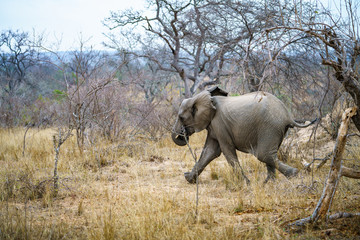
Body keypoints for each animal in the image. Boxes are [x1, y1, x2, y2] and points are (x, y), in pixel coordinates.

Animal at [172, 86, 316, 184]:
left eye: (181, 117)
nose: (182, 133)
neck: (204, 98)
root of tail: (288, 116)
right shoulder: (213, 126)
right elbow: (210, 151)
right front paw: (188, 178)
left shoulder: (219, 124)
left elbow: (226, 151)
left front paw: (246, 183)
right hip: (277, 129)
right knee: (269, 154)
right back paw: (268, 183)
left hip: (270, 126)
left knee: (263, 154)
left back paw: (293, 174)